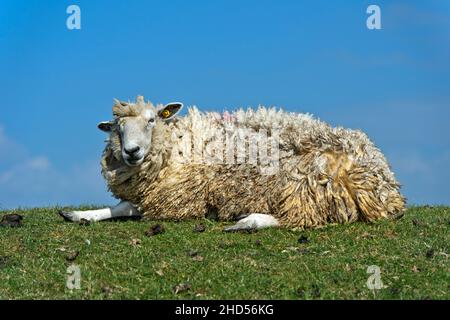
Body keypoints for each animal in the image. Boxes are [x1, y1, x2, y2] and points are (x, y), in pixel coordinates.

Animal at [58, 95, 406, 230]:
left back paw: (248, 221)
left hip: (308, 183)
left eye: (152, 119)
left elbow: (131, 209)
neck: (179, 141)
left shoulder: (180, 201)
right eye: (117, 128)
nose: (131, 151)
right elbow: (122, 207)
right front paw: (81, 215)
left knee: (302, 218)